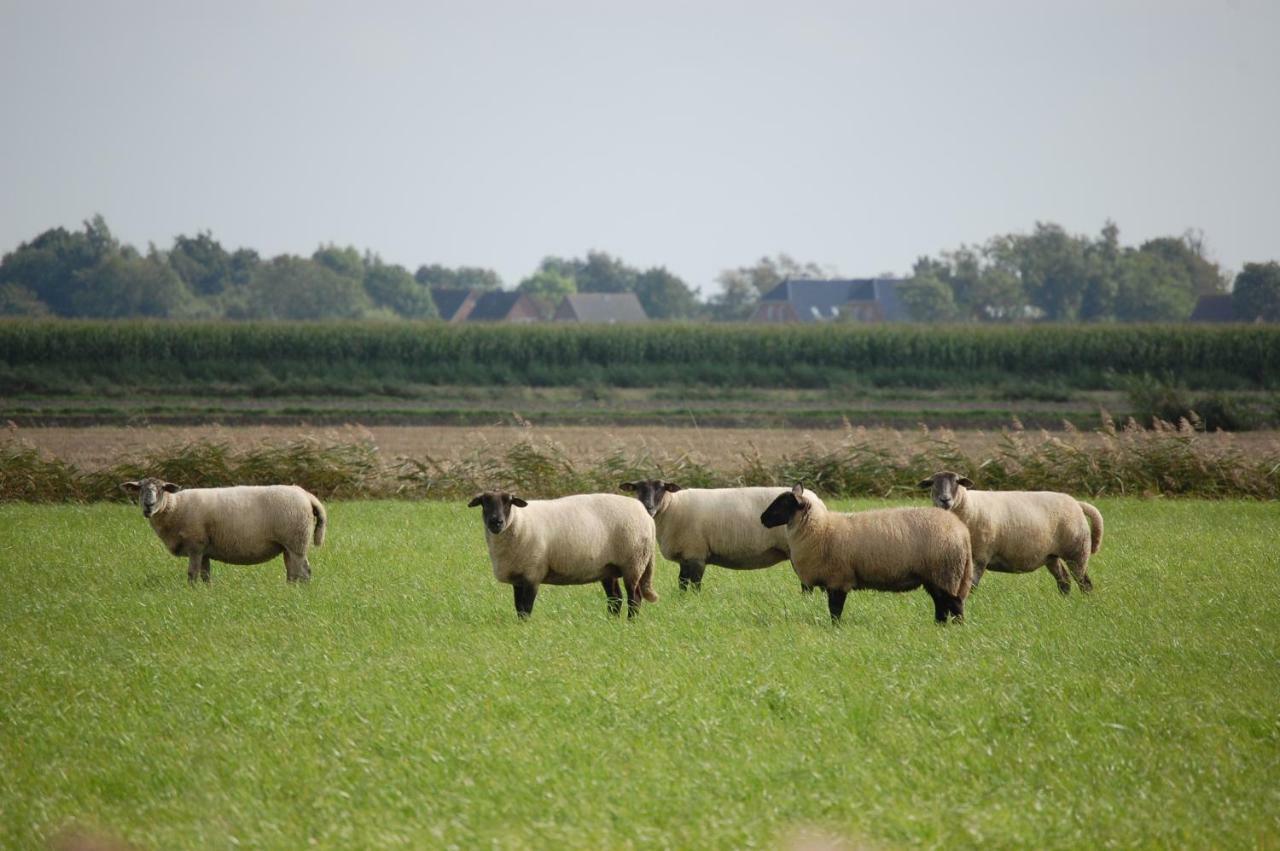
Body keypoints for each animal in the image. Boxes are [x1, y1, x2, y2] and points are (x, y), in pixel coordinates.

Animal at [120, 473, 325, 580]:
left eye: (161, 489)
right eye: (140, 490)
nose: (148, 505)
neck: (175, 506)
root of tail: (306, 495)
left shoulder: (195, 545)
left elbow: (192, 574)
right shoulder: (204, 549)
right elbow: (205, 575)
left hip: (296, 541)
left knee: (303, 572)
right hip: (288, 545)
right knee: (293, 572)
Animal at [465, 491, 655, 616]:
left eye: (508, 502)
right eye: (484, 503)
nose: (496, 522)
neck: (519, 521)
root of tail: (646, 514)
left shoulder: (533, 574)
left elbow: (526, 608)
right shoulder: (518, 578)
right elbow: (518, 608)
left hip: (634, 562)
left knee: (634, 597)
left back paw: (630, 622)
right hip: (608, 568)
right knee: (615, 598)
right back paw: (611, 622)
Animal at [619, 478, 808, 591]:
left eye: (662, 489)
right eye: (638, 489)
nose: (648, 507)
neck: (672, 506)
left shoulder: (697, 555)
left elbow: (695, 585)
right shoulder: (685, 557)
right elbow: (682, 584)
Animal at [916, 470, 1105, 591]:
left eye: (957, 482)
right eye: (933, 484)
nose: (945, 500)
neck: (968, 505)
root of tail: (1077, 503)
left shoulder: (980, 557)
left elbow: (971, 587)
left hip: (1077, 551)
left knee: (1084, 583)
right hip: (1051, 556)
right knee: (1064, 581)